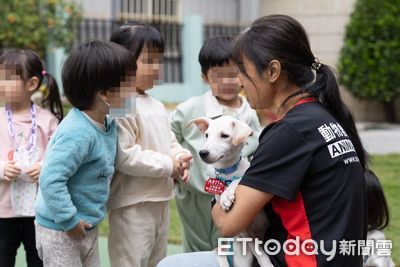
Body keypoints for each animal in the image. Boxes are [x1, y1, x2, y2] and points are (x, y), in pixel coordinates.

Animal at [189, 116, 274, 267]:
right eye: (207, 135)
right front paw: (224, 196)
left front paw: (228, 194)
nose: (203, 153)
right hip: (242, 255)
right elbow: (256, 247)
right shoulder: (243, 228)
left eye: (224, 135)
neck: (228, 172)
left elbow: (238, 179)